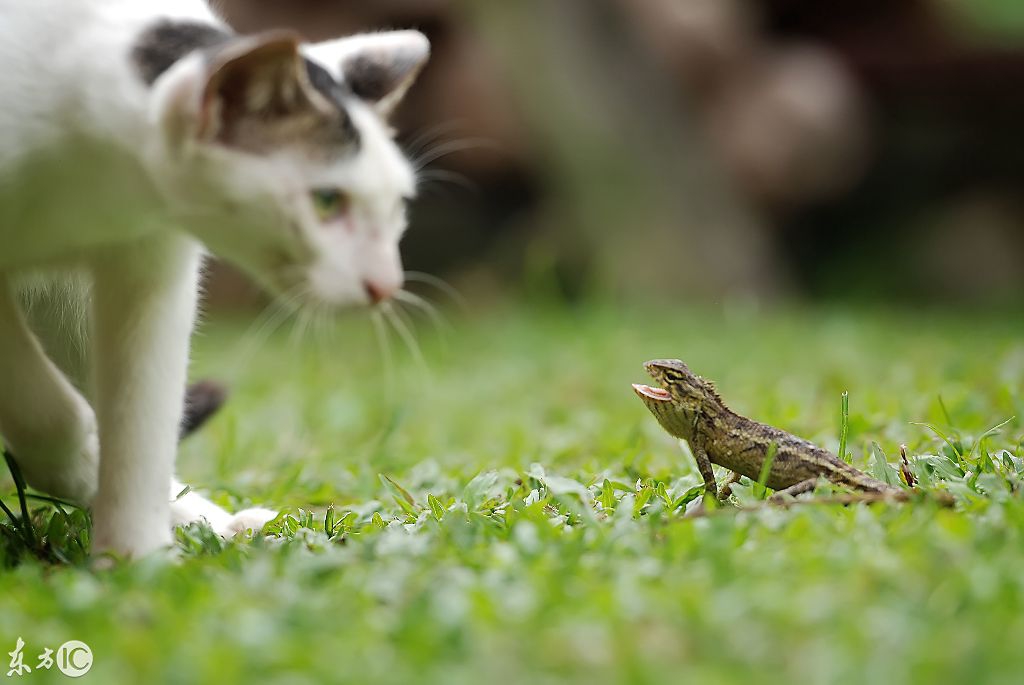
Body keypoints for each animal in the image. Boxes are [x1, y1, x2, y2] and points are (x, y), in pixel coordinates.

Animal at [0, 0, 430, 557]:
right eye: (325, 201)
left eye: (398, 205)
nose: (386, 286)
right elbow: (45, 406)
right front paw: (78, 465)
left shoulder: (152, 258)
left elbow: (142, 417)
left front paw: (137, 556)